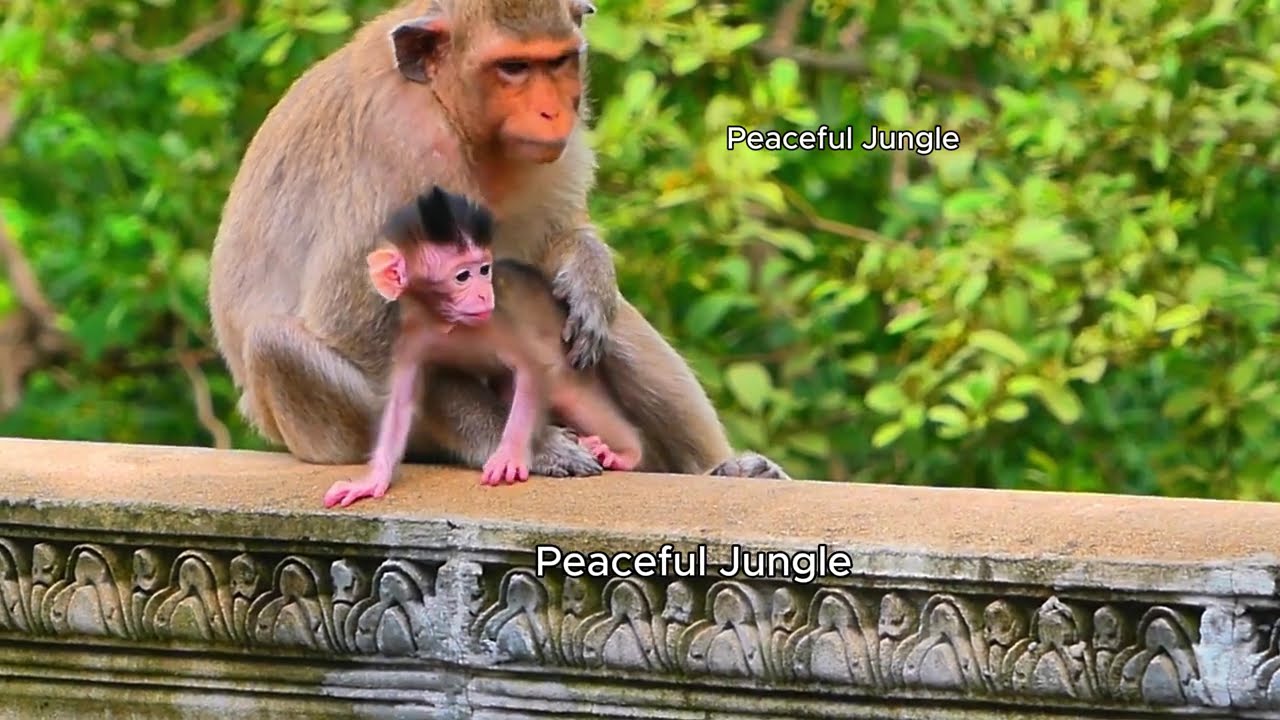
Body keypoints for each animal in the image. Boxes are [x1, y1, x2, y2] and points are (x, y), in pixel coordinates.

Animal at [323, 187, 642, 508]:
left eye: (485, 269)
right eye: (463, 276)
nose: (485, 295)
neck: (447, 324)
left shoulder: (496, 326)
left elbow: (531, 368)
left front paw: (512, 455)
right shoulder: (411, 340)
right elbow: (401, 404)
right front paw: (371, 480)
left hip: (573, 375)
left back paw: (624, 452)